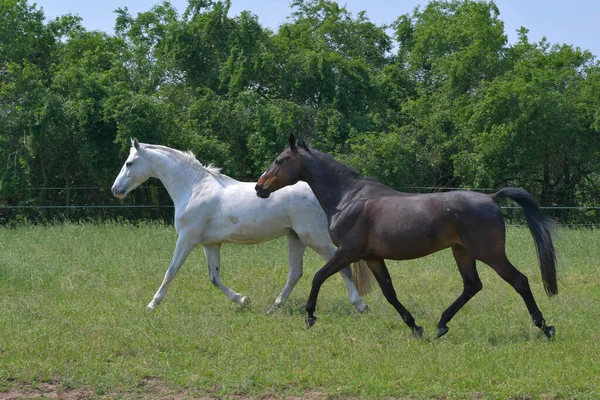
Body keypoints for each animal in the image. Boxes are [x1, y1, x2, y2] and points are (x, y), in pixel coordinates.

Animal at [111, 140, 370, 312]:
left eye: (129, 163)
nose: (116, 190)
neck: (194, 188)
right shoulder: (210, 244)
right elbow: (214, 278)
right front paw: (243, 300)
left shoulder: (187, 238)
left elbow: (171, 271)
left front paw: (152, 304)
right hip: (295, 238)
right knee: (295, 273)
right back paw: (274, 307)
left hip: (314, 238)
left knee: (342, 267)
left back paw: (359, 305)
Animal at [254, 136, 556, 340]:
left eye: (279, 160)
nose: (259, 187)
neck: (347, 198)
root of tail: (492, 198)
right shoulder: (373, 258)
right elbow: (389, 293)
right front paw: (415, 326)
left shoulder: (348, 252)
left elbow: (318, 277)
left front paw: (310, 317)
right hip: (462, 252)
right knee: (472, 285)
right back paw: (441, 324)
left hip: (490, 254)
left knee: (519, 281)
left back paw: (545, 327)